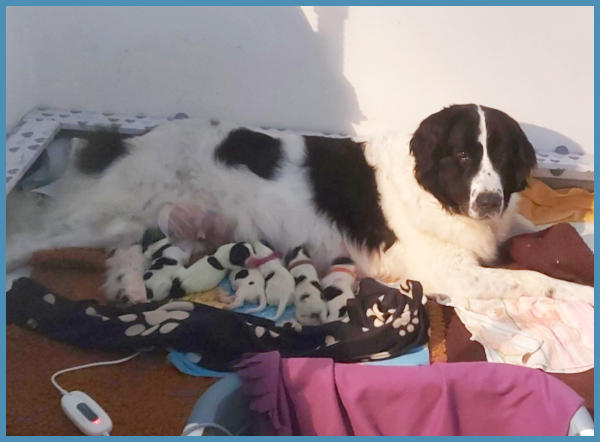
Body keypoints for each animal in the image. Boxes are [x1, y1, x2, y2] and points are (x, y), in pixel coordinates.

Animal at [6, 104, 593, 306]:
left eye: (501, 156)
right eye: (464, 155)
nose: (489, 199)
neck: (435, 194)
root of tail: (132, 141)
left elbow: (531, 231)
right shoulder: (452, 272)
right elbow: (536, 280)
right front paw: (580, 296)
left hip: (157, 228)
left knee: (125, 251)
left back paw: (127, 287)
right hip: (98, 218)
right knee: (30, 238)